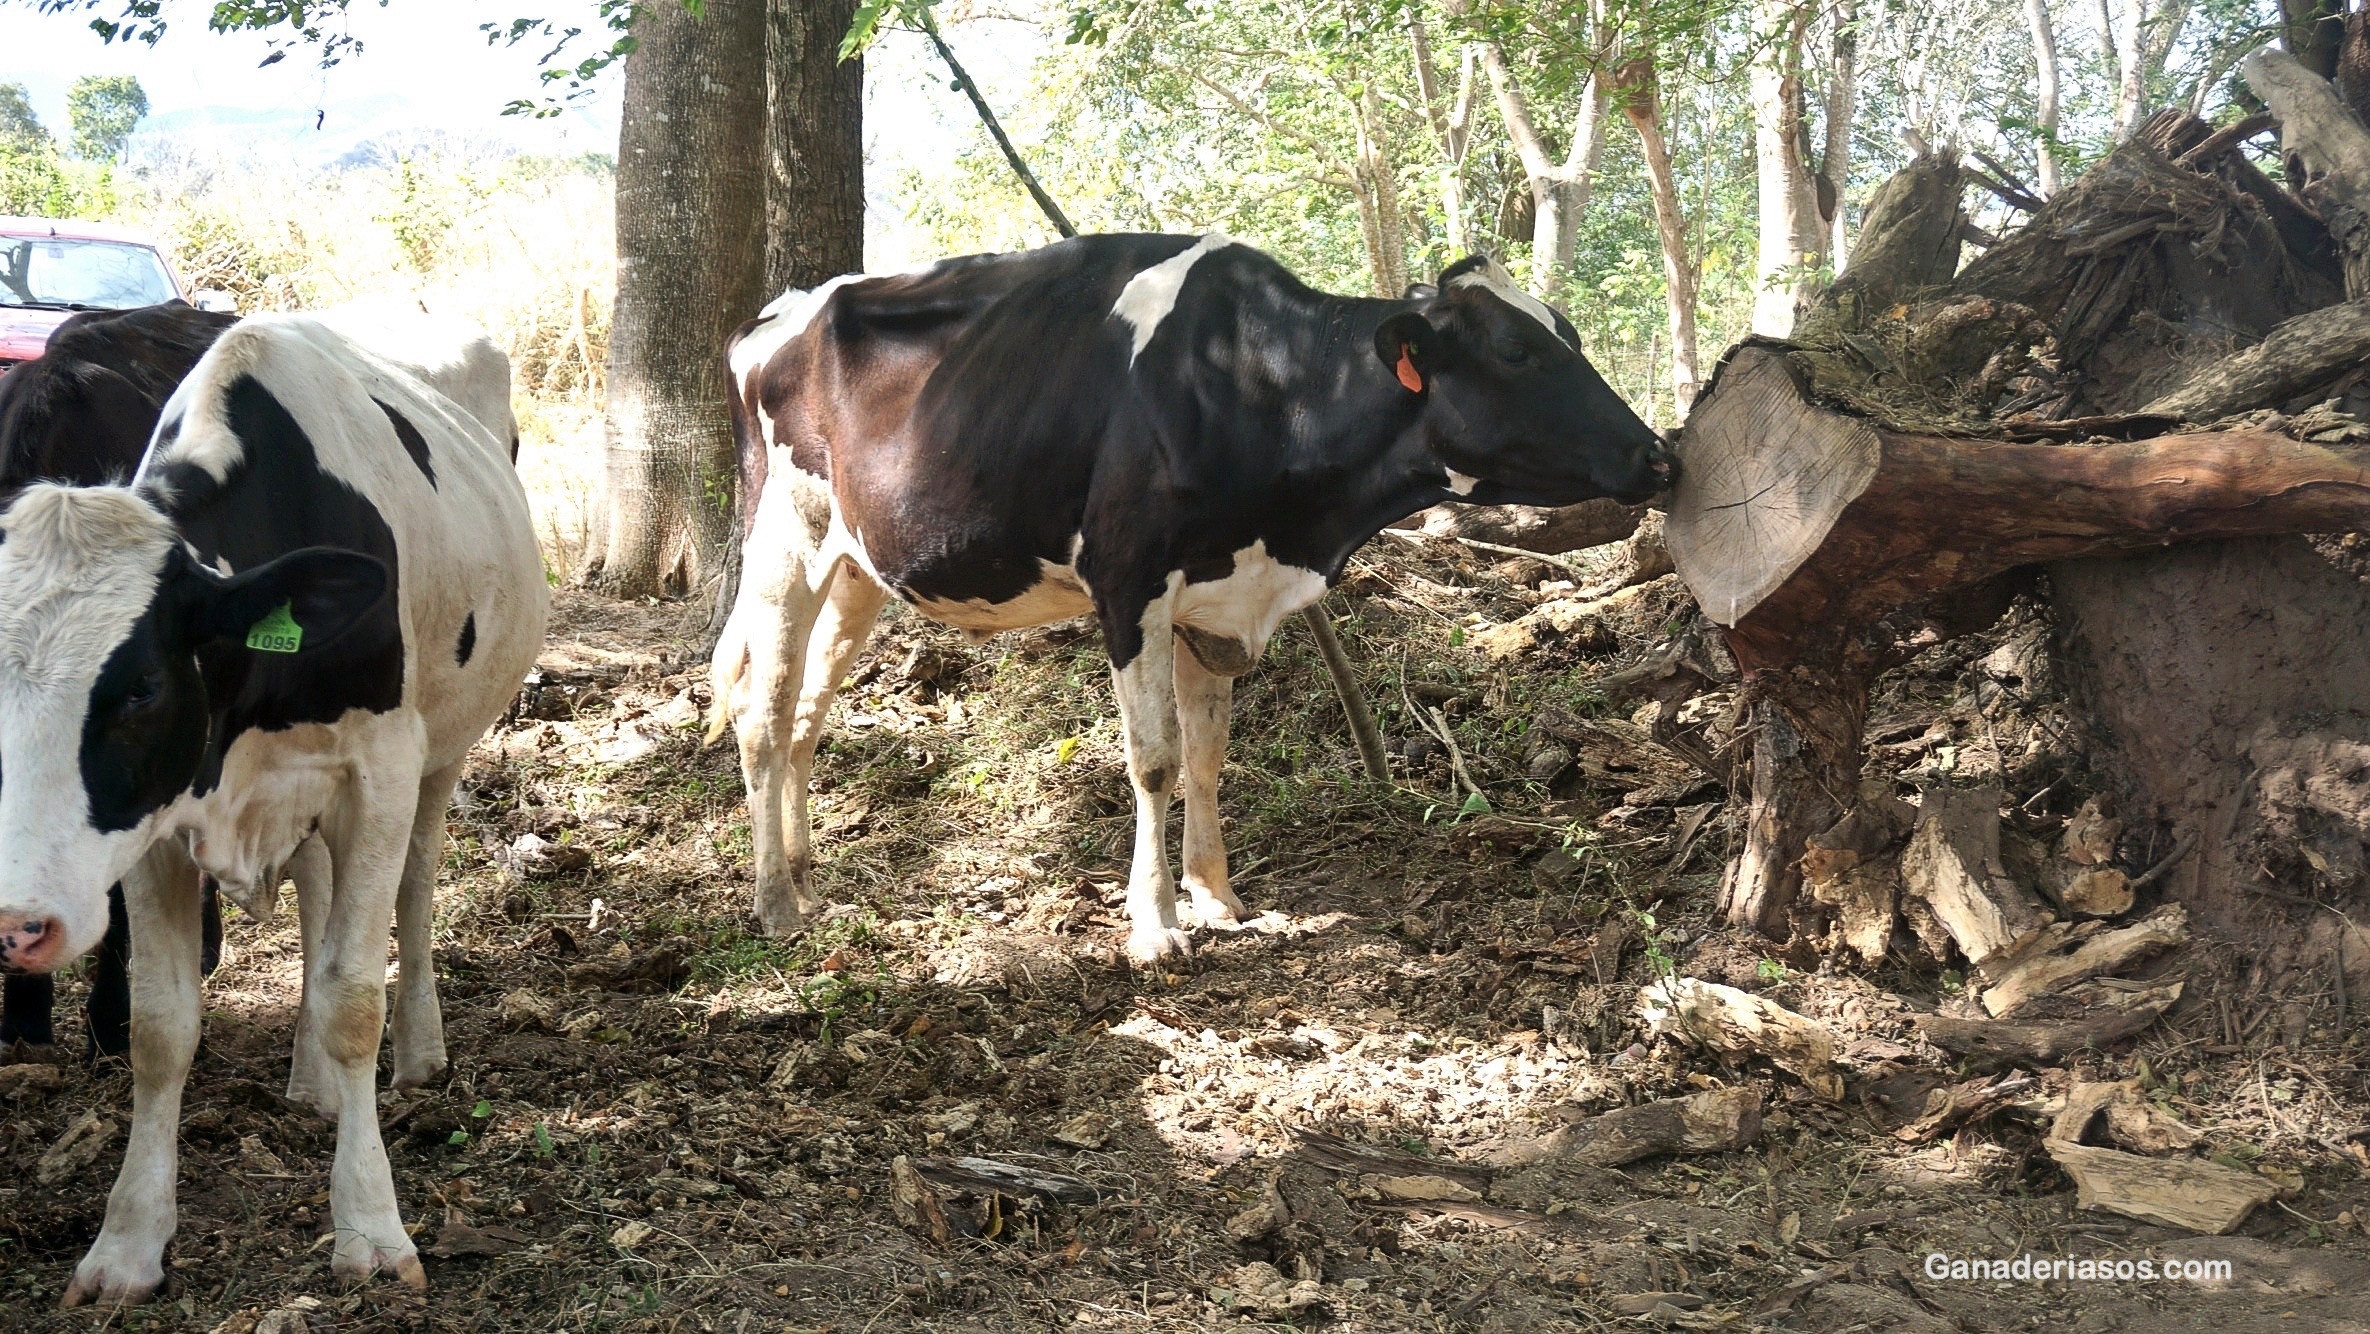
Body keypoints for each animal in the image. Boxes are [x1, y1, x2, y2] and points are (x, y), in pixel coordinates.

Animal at [0, 312, 545, 1307]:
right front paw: (127, 1243)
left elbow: (353, 1001)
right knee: (319, 894)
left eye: (143, 686)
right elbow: (161, 1026)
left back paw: (419, 1052)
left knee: (414, 889)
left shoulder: (379, 770)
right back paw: (311, 1082)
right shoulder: (155, 821)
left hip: (444, 749)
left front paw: (370, 1226)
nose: (20, 924)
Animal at [701, 234, 1668, 966]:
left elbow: (1207, 756)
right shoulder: (1130, 582)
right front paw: (1156, 922)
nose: (1660, 455)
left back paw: (806, 879)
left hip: (856, 566)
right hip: (781, 541)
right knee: (761, 711)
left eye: (1570, 334)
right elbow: (1156, 760)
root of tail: (769, 316)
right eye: (1517, 351)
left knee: (806, 714)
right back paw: (774, 904)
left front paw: (1218, 896)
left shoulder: (1218, 603)